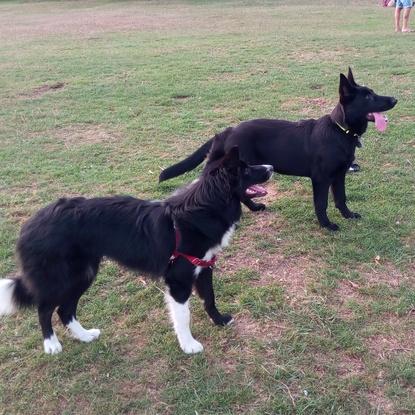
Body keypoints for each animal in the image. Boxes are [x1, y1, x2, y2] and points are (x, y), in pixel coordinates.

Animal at [0, 141, 272, 356]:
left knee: (65, 310)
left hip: (84, 274)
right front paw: (189, 346)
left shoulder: (204, 267)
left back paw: (85, 336)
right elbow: (183, 316)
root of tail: (31, 224)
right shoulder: (178, 280)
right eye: (246, 169)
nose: (270, 167)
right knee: (45, 308)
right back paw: (51, 345)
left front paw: (219, 321)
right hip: (61, 277)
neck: (204, 208)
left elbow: (210, 299)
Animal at [161, 68, 398, 231]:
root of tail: (228, 130)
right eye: (368, 97)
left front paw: (348, 216)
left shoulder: (339, 176)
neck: (340, 130)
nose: (395, 99)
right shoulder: (321, 179)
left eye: (372, 93)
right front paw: (326, 225)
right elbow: (321, 204)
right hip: (243, 169)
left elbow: (341, 198)